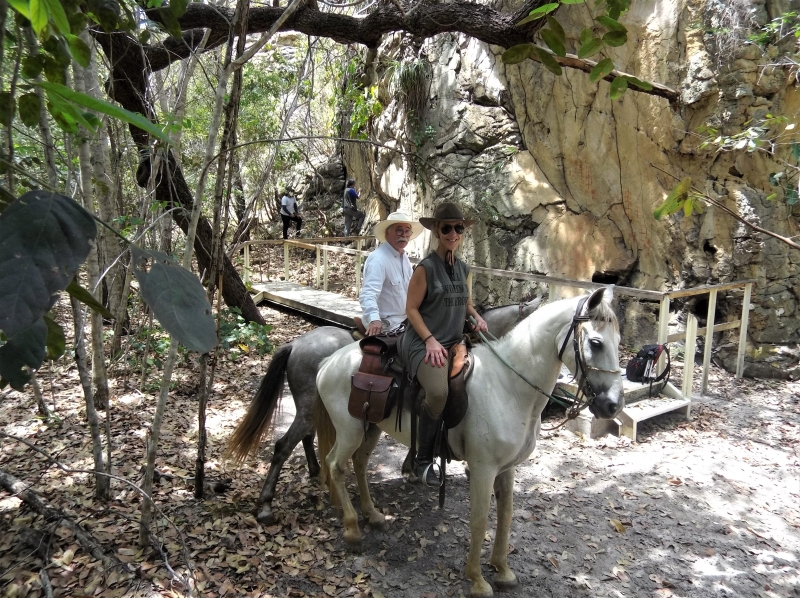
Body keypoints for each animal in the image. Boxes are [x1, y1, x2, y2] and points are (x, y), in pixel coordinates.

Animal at [225, 300, 544, 524]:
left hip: (314, 409)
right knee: (283, 446)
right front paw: (415, 469)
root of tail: (295, 344)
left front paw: (411, 468)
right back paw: (267, 505)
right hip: (310, 410)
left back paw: (316, 472)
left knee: (306, 437)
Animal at [314, 288, 624, 596]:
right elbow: (480, 519)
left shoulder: (507, 469)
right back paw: (353, 529)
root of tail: (329, 362)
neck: (508, 386)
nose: (613, 405)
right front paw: (477, 579)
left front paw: (502, 569)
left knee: (359, 463)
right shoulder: (482, 469)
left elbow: (506, 514)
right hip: (350, 430)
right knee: (336, 465)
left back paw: (374, 515)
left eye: (618, 341)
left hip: (371, 428)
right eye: (595, 343)